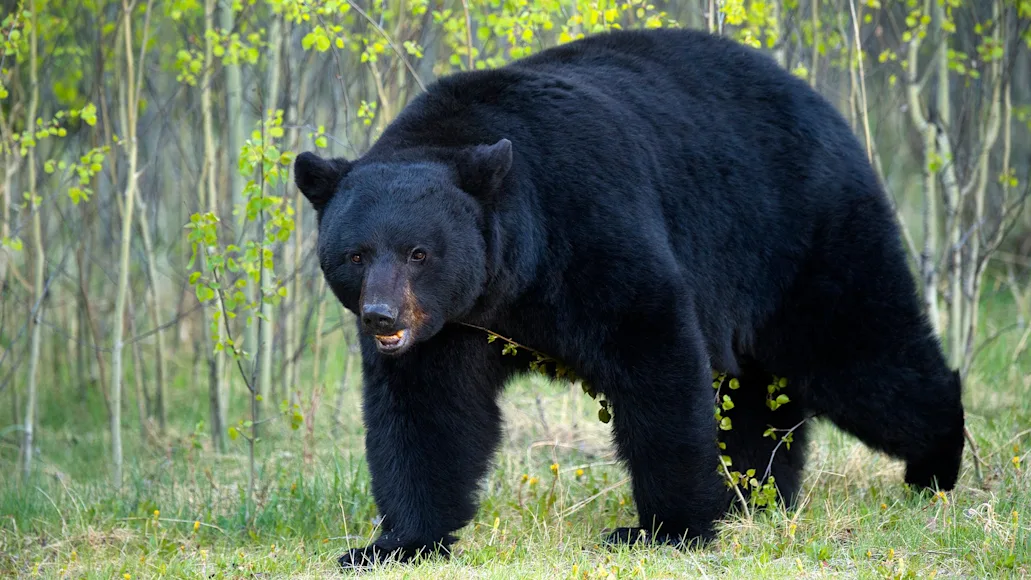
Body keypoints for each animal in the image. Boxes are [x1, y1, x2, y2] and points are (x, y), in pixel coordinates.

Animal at [293, 27, 966, 569]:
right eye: (355, 255)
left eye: (419, 253)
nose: (382, 317)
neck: (509, 278)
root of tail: (827, 110)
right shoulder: (451, 326)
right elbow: (426, 412)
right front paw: (394, 543)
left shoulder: (588, 225)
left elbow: (654, 355)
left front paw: (667, 530)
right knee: (756, 393)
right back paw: (752, 493)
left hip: (800, 235)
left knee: (863, 354)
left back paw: (935, 464)